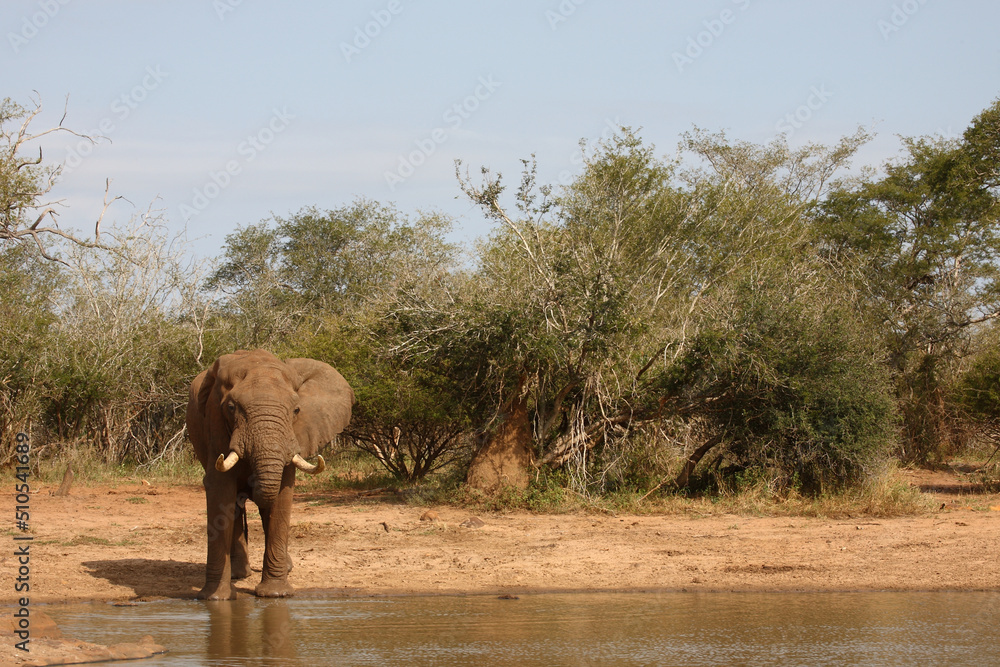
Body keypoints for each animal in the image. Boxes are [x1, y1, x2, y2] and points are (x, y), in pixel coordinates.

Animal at [186, 349, 354, 599]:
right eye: (231, 408)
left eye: (296, 410)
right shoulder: (214, 424)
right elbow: (220, 491)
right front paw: (215, 599)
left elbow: (281, 497)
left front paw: (275, 594)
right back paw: (239, 574)